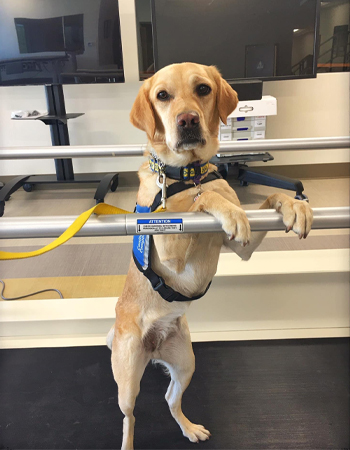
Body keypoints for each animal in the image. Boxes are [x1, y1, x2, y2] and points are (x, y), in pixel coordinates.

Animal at [108, 63, 314, 450]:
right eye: (162, 95)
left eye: (202, 89)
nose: (187, 120)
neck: (188, 174)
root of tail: (153, 348)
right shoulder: (169, 247)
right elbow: (204, 199)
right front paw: (225, 208)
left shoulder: (243, 248)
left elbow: (269, 199)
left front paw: (294, 206)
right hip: (126, 381)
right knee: (129, 418)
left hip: (186, 362)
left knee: (170, 398)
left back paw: (190, 428)